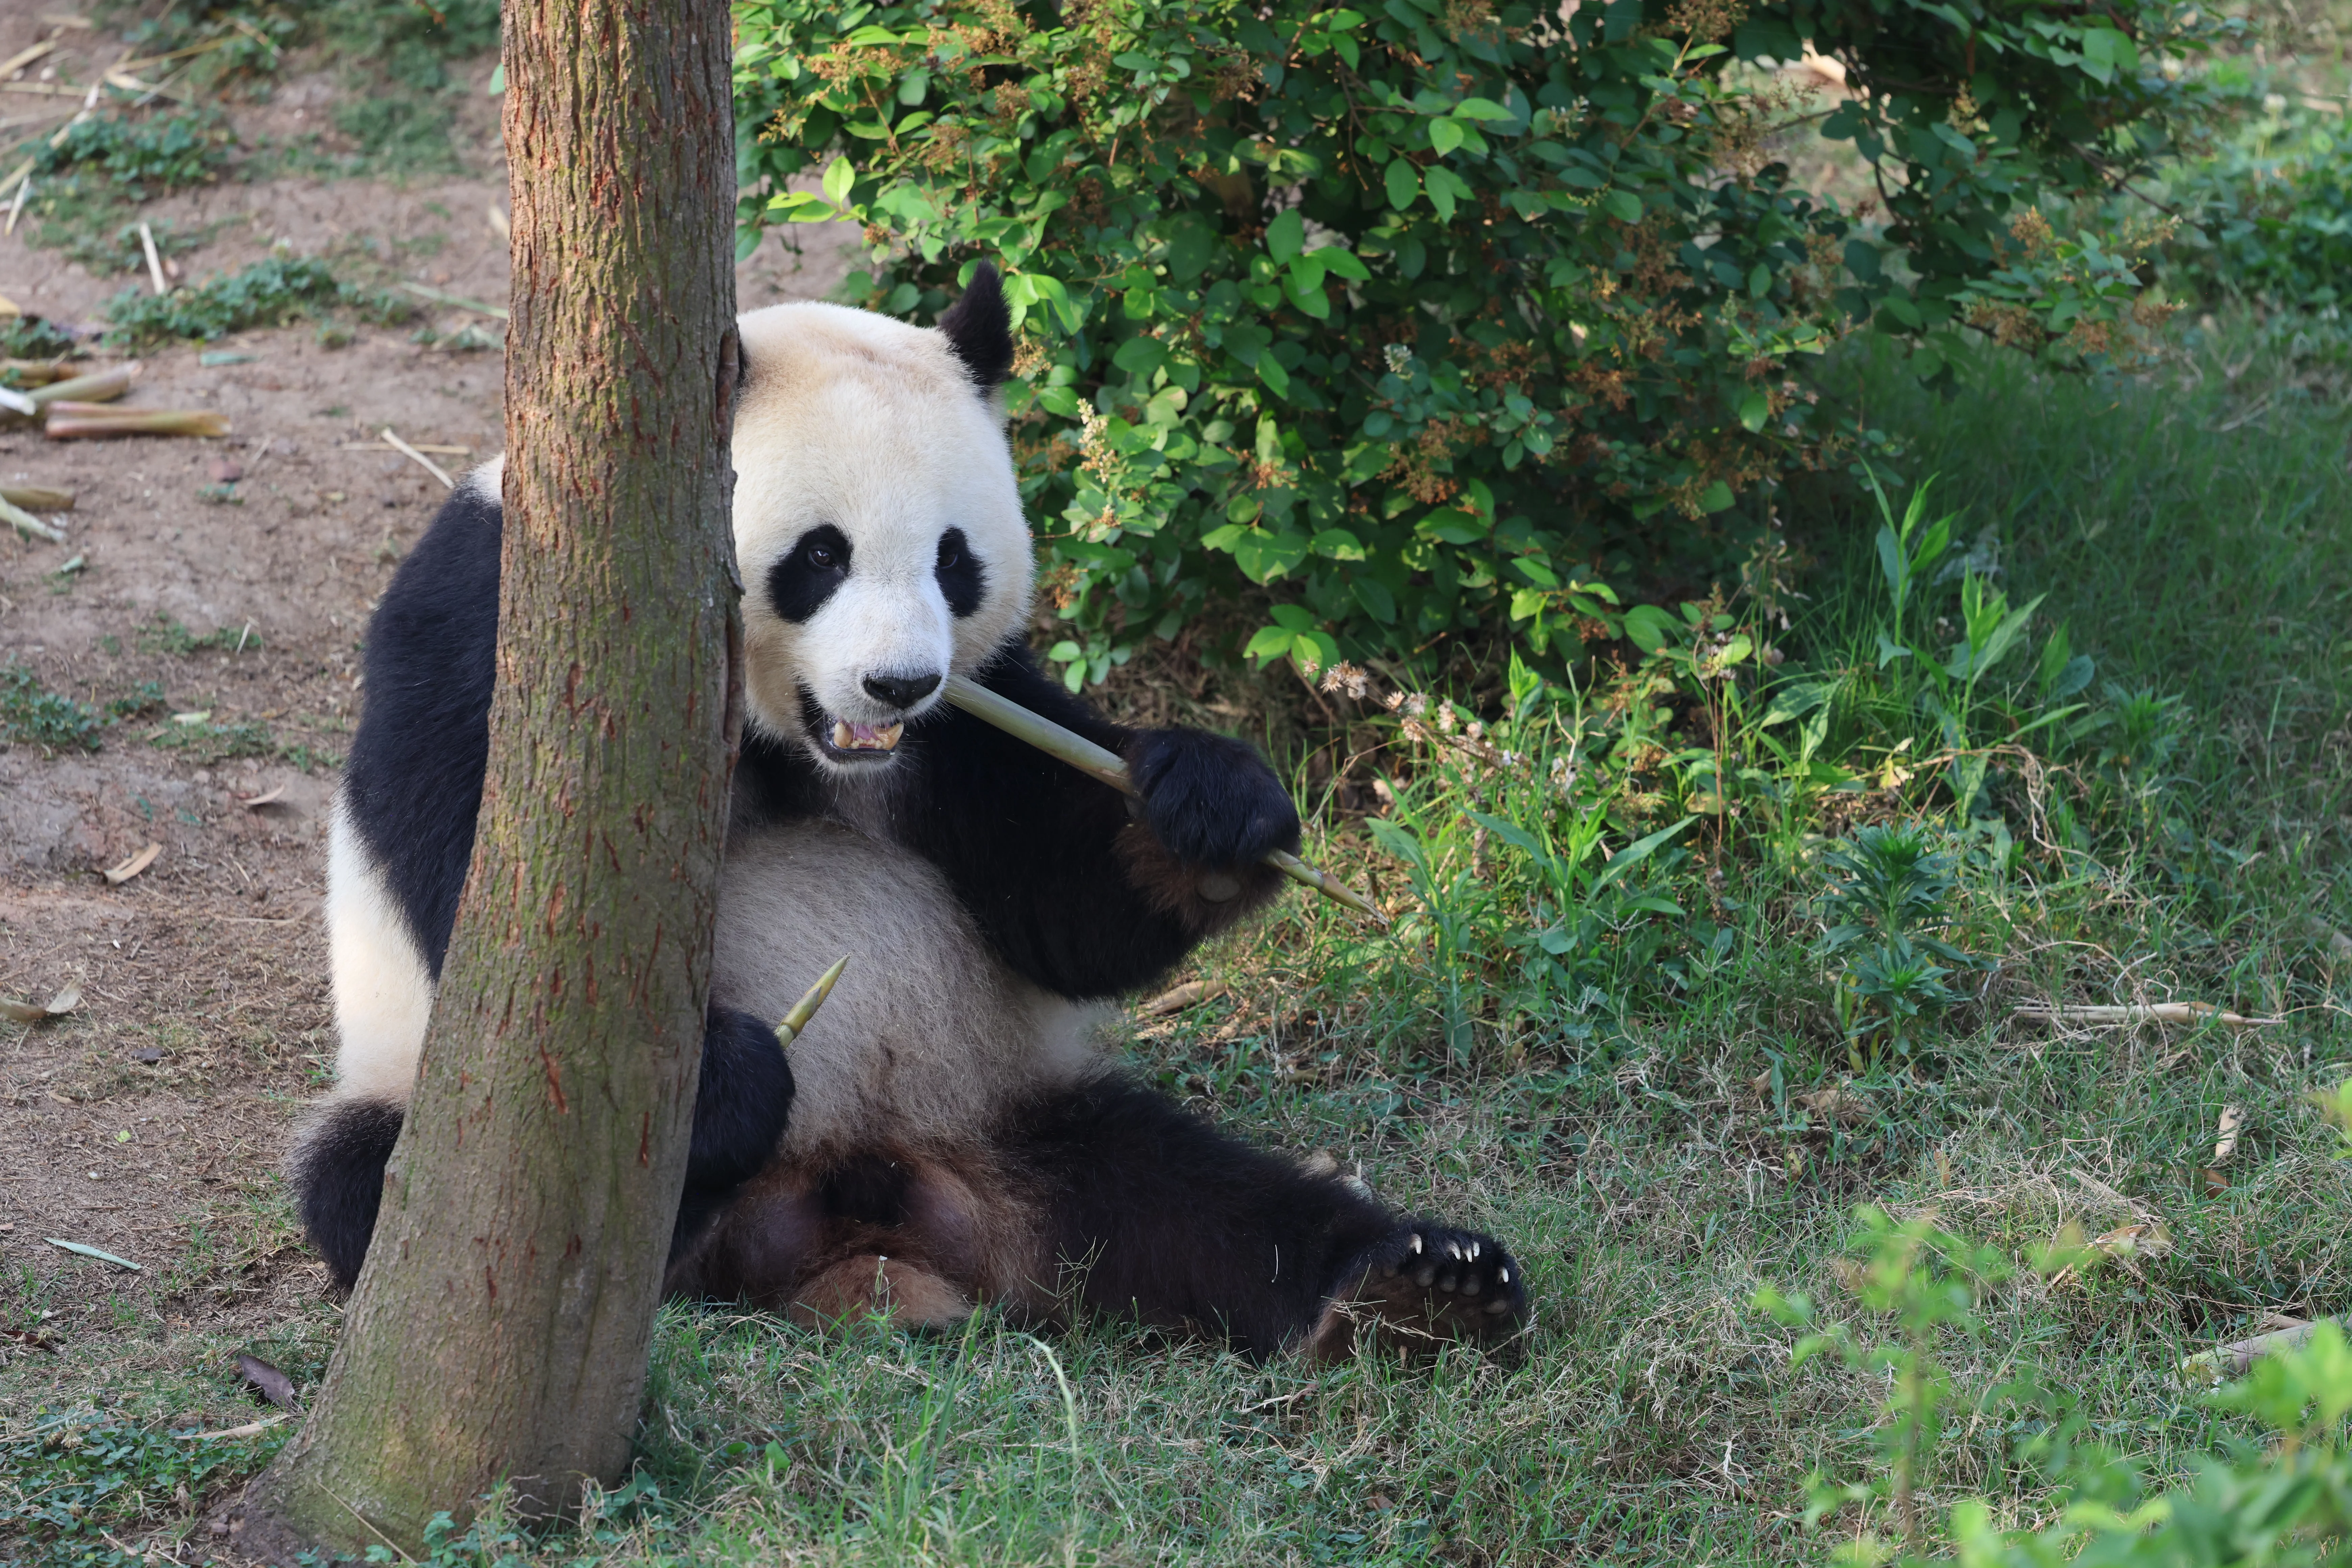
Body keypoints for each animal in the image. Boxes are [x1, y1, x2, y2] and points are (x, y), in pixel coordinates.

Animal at [294, 267, 1531, 1362]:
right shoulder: (502, 624)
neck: (796, 745)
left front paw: (1214, 808)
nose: (898, 685)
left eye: (953, 561)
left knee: (1197, 1198)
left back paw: (1414, 1291)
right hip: (440, 1107)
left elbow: (1064, 913)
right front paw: (721, 1079)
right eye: (819, 556)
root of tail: (864, 1229)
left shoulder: (974, 721)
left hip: (1013, 1113)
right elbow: (514, 908)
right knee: (402, 1187)